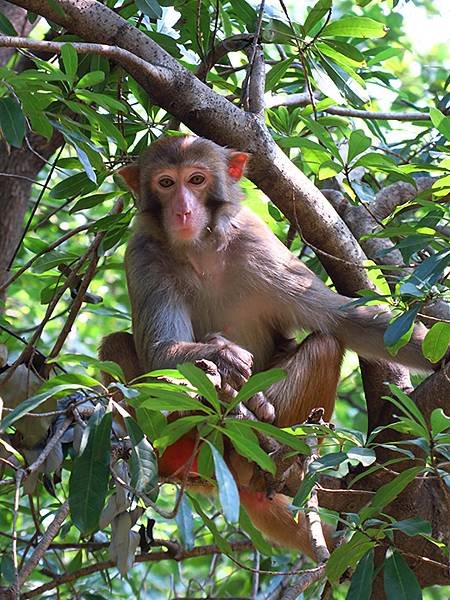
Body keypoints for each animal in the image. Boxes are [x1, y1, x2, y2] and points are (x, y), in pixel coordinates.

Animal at [99, 135, 436, 556]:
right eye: (165, 183)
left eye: (196, 179)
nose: (182, 210)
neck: (200, 249)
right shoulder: (143, 254)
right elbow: (161, 351)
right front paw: (222, 355)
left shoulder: (260, 245)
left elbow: (341, 319)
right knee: (117, 345)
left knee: (326, 344)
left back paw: (264, 444)